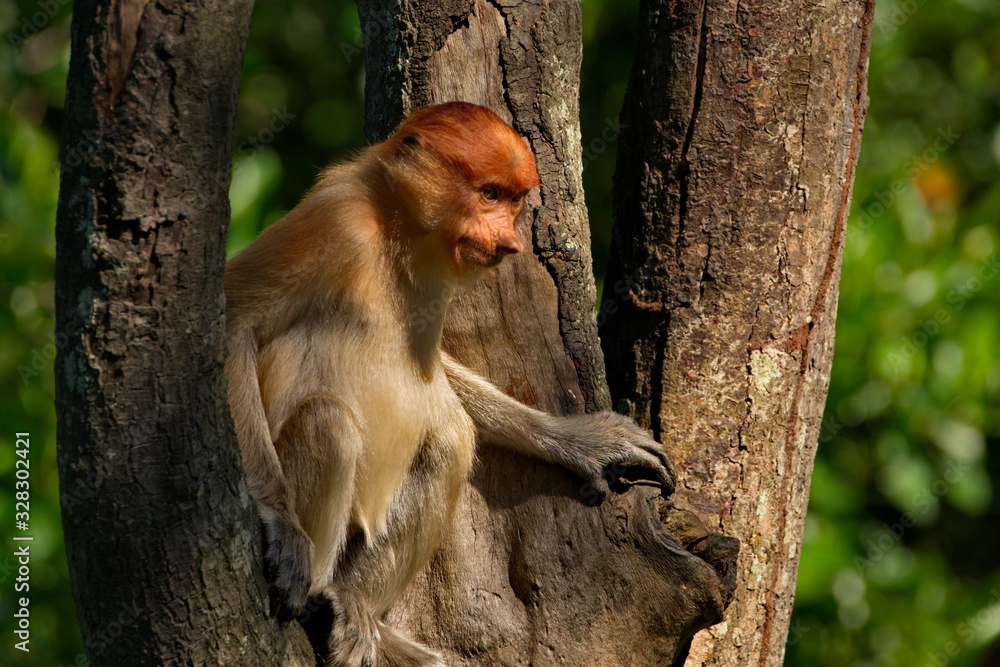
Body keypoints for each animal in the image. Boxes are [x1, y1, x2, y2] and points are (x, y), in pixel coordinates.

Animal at [223, 102, 675, 666]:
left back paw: (360, 612)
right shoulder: (335, 222)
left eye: (514, 198)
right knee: (328, 420)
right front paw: (281, 524)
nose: (510, 242)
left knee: (450, 437)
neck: (396, 226)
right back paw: (319, 605)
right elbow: (235, 324)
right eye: (489, 194)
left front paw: (583, 440)